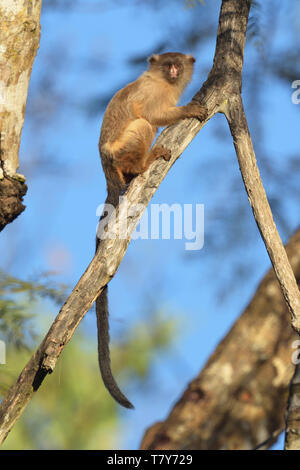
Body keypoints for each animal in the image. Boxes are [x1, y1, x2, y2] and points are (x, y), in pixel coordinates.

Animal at [97, 51, 207, 408]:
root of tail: (106, 167)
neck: (164, 83)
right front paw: (187, 109)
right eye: (166, 64)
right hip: (117, 150)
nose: (173, 71)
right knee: (143, 125)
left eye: (177, 65)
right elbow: (151, 114)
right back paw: (139, 165)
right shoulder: (152, 92)